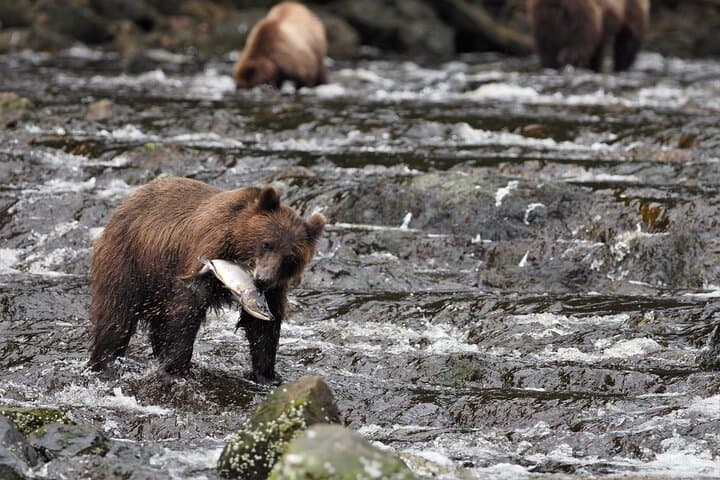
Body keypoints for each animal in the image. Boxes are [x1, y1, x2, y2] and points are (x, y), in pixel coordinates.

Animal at [88, 177, 326, 384]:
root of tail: (125, 203)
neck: (237, 245)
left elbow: (263, 327)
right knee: (116, 315)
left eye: (290, 257)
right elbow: (188, 307)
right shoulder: (207, 248)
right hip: (130, 261)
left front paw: (267, 376)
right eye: (267, 244)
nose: (262, 279)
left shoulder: (274, 290)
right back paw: (106, 363)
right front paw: (174, 370)